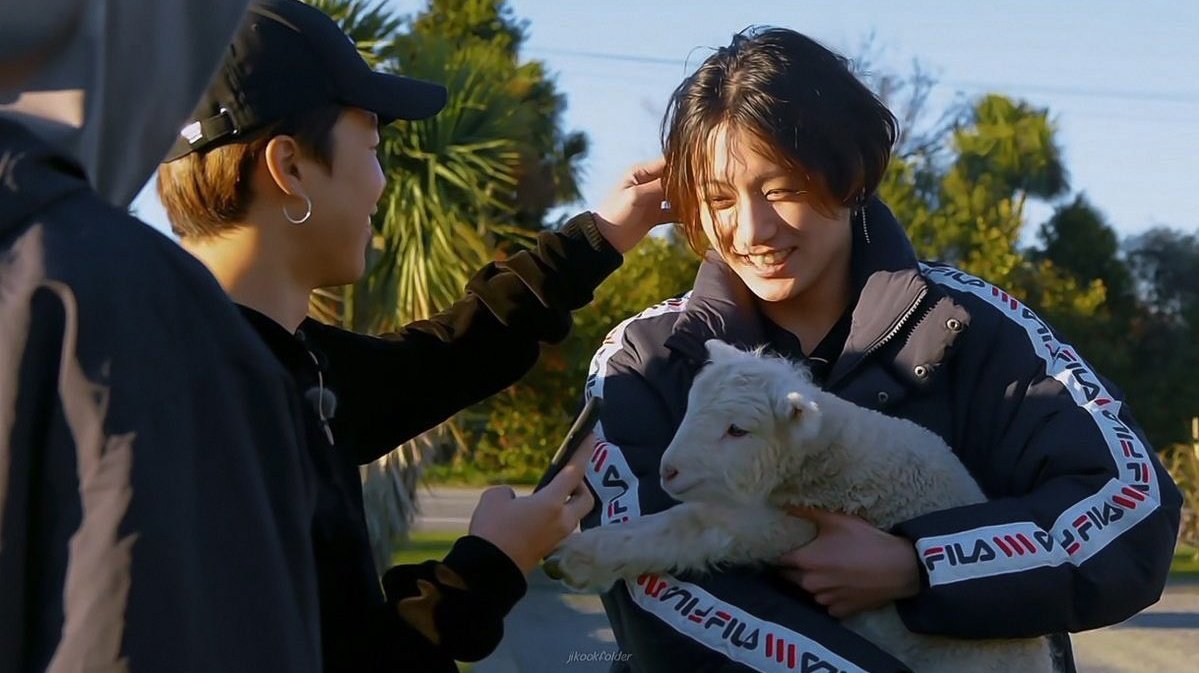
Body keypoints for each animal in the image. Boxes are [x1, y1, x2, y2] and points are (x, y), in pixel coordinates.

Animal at [548, 340, 1054, 673]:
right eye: (690, 407)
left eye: (737, 430)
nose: (668, 470)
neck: (833, 451)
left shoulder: (785, 524)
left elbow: (689, 526)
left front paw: (580, 557)